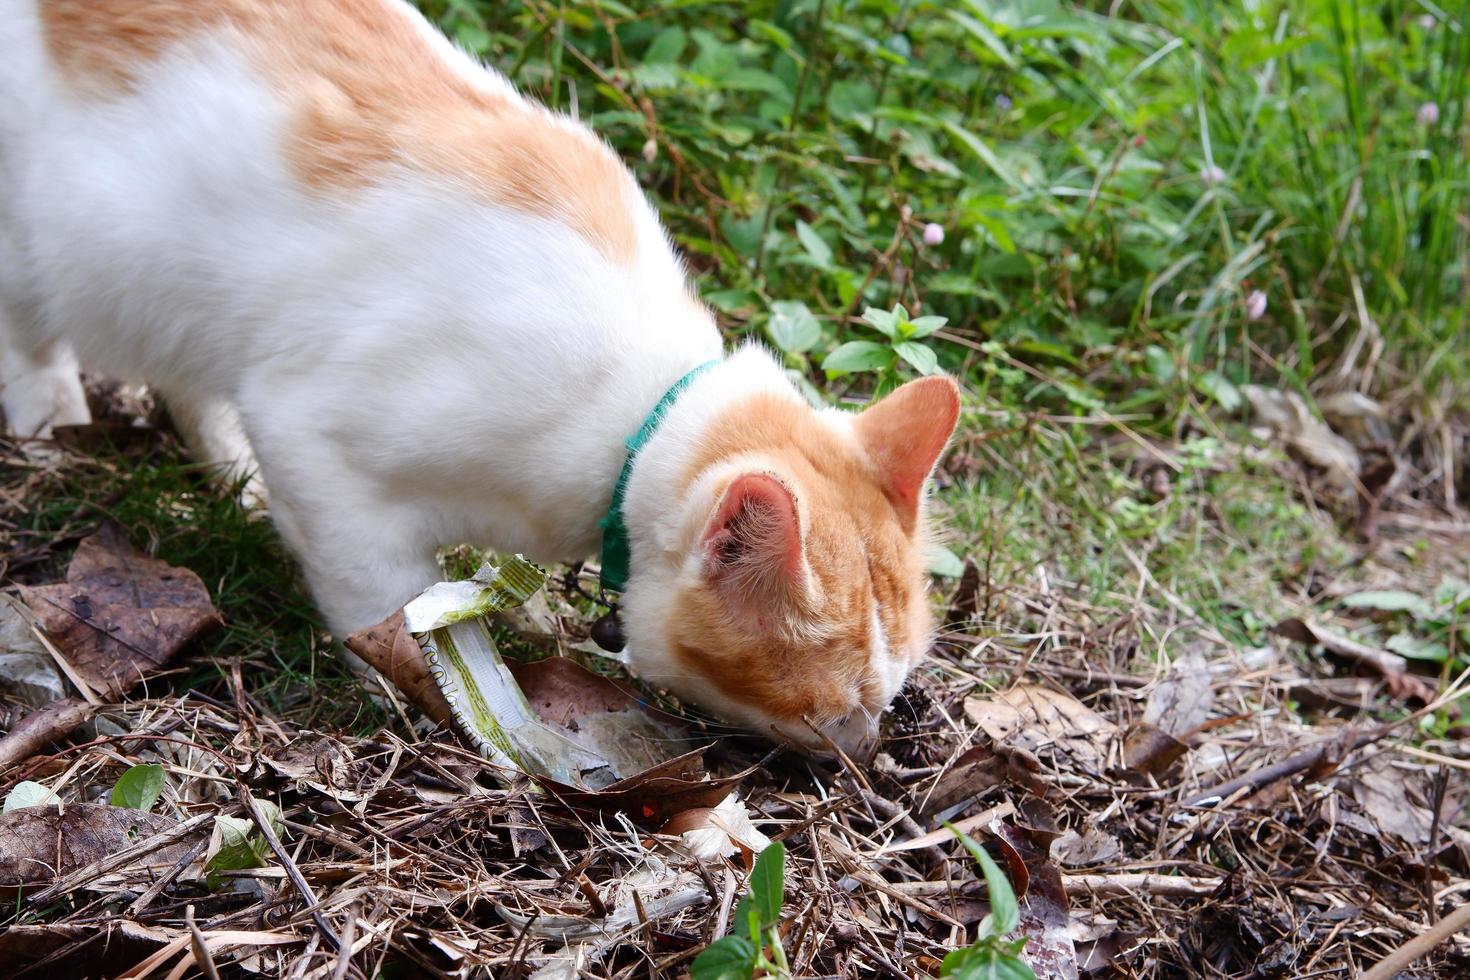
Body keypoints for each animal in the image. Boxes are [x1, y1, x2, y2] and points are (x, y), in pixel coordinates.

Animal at [0, 0, 958, 758]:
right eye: (831, 703)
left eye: (892, 689)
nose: (868, 747)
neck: (637, 412)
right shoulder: (317, 444)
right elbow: (382, 601)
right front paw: (416, 685)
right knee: (34, 342)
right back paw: (51, 430)